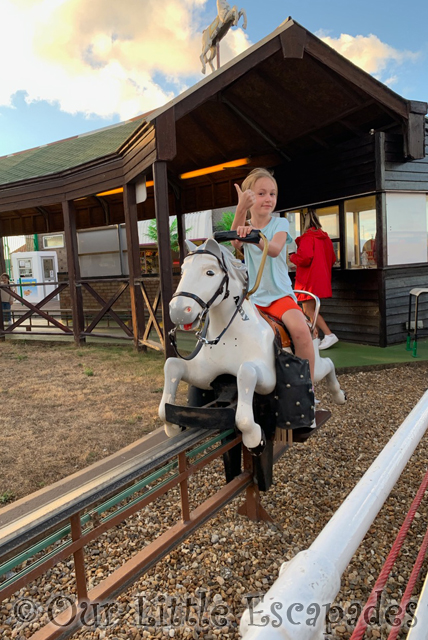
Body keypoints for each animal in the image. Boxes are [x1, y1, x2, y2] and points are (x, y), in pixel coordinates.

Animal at [159, 238, 346, 452]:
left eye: (210, 272)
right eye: (182, 271)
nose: (178, 311)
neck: (229, 336)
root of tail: (308, 320)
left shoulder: (269, 378)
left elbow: (246, 372)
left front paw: (255, 439)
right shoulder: (204, 376)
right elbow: (172, 366)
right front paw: (172, 427)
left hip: (309, 351)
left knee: (327, 364)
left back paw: (338, 397)